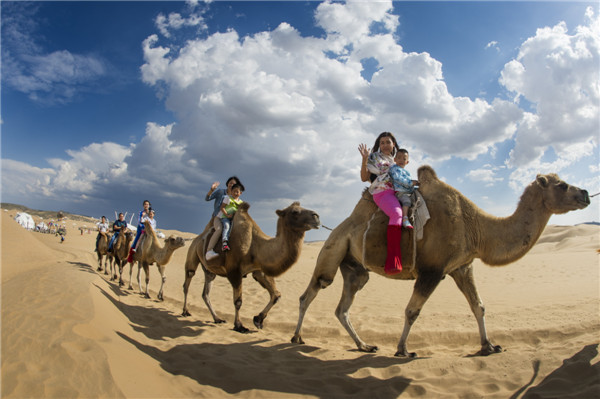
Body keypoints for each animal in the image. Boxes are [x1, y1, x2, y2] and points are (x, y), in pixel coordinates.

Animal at [183, 202, 322, 332]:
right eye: (294, 212)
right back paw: (185, 311)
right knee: (187, 281)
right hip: (192, 253)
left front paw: (258, 320)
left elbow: (276, 295)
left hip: (209, 270)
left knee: (205, 292)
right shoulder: (234, 271)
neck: (255, 246)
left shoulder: (259, 270)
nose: (316, 216)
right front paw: (239, 326)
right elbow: (238, 301)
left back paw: (217, 318)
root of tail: (198, 237)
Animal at [290, 166, 592, 360]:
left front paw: (489, 346)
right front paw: (403, 349)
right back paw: (296, 337)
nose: (586, 193)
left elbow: (478, 306)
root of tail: (338, 227)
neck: (478, 228)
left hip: (355, 267)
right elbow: (412, 311)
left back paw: (364, 345)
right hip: (333, 250)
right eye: (562, 185)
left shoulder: (462, 266)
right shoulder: (432, 270)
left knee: (343, 307)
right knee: (310, 292)